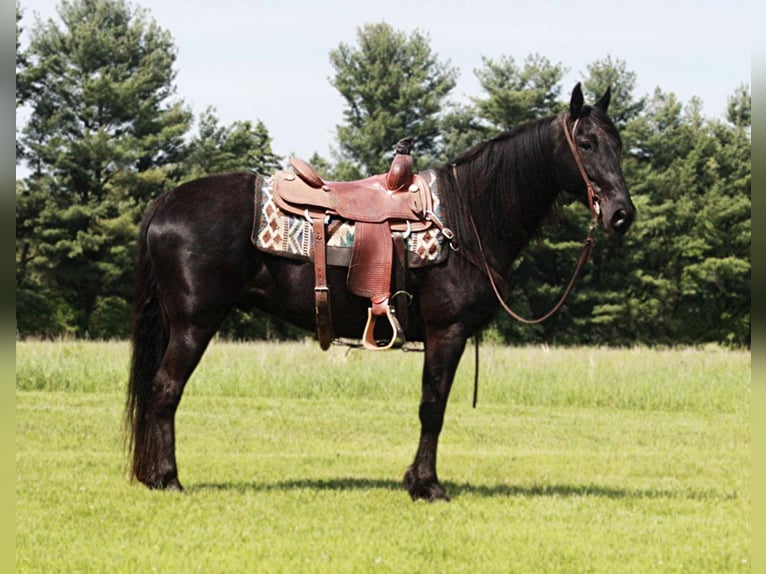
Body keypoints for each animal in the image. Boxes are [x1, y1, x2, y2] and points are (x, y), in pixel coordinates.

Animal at [126, 85, 640, 504]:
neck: (467, 214)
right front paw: (426, 485)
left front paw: (417, 479)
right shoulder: (446, 333)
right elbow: (433, 407)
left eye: (618, 144)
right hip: (194, 324)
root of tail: (166, 203)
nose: (621, 213)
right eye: (586, 143)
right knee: (165, 390)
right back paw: (167, 478)